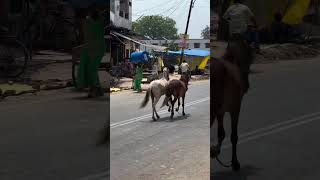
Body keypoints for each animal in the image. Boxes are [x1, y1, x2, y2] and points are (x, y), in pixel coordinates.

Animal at [211, 35, 254, 172]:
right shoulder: (235, 108)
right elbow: (234, 136)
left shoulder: (220, 112)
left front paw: (214, 151)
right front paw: (235, 163)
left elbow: (221, 134)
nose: (246, 86)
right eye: (250, 58)